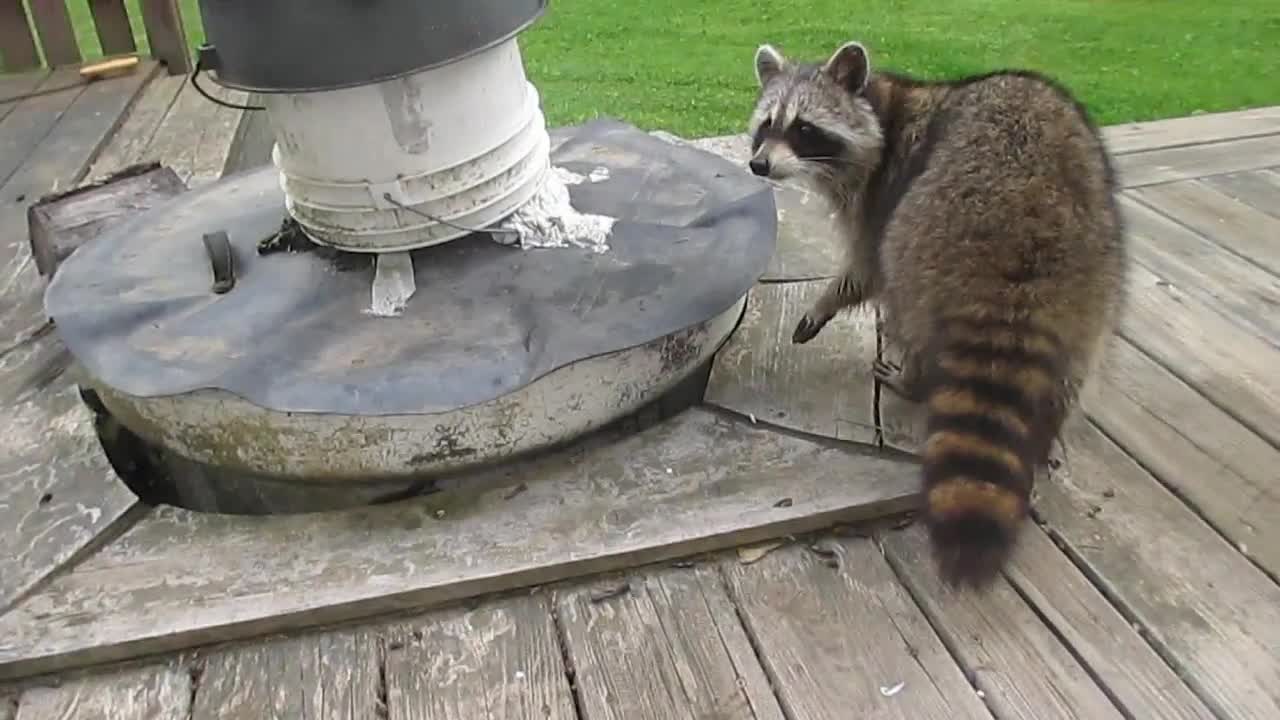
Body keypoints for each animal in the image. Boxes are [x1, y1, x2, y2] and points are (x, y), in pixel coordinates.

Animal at [747, 41, 1131, 586]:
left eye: (803, 128)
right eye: (766, 125)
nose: (758, 165)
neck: (884, 104)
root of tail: (1027, 230)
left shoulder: (882, 191)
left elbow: (867, 268)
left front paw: (828, 300)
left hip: (922, 229)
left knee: (903, 299)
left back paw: (914, 377)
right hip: (1098, 270)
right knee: (1073, 361)